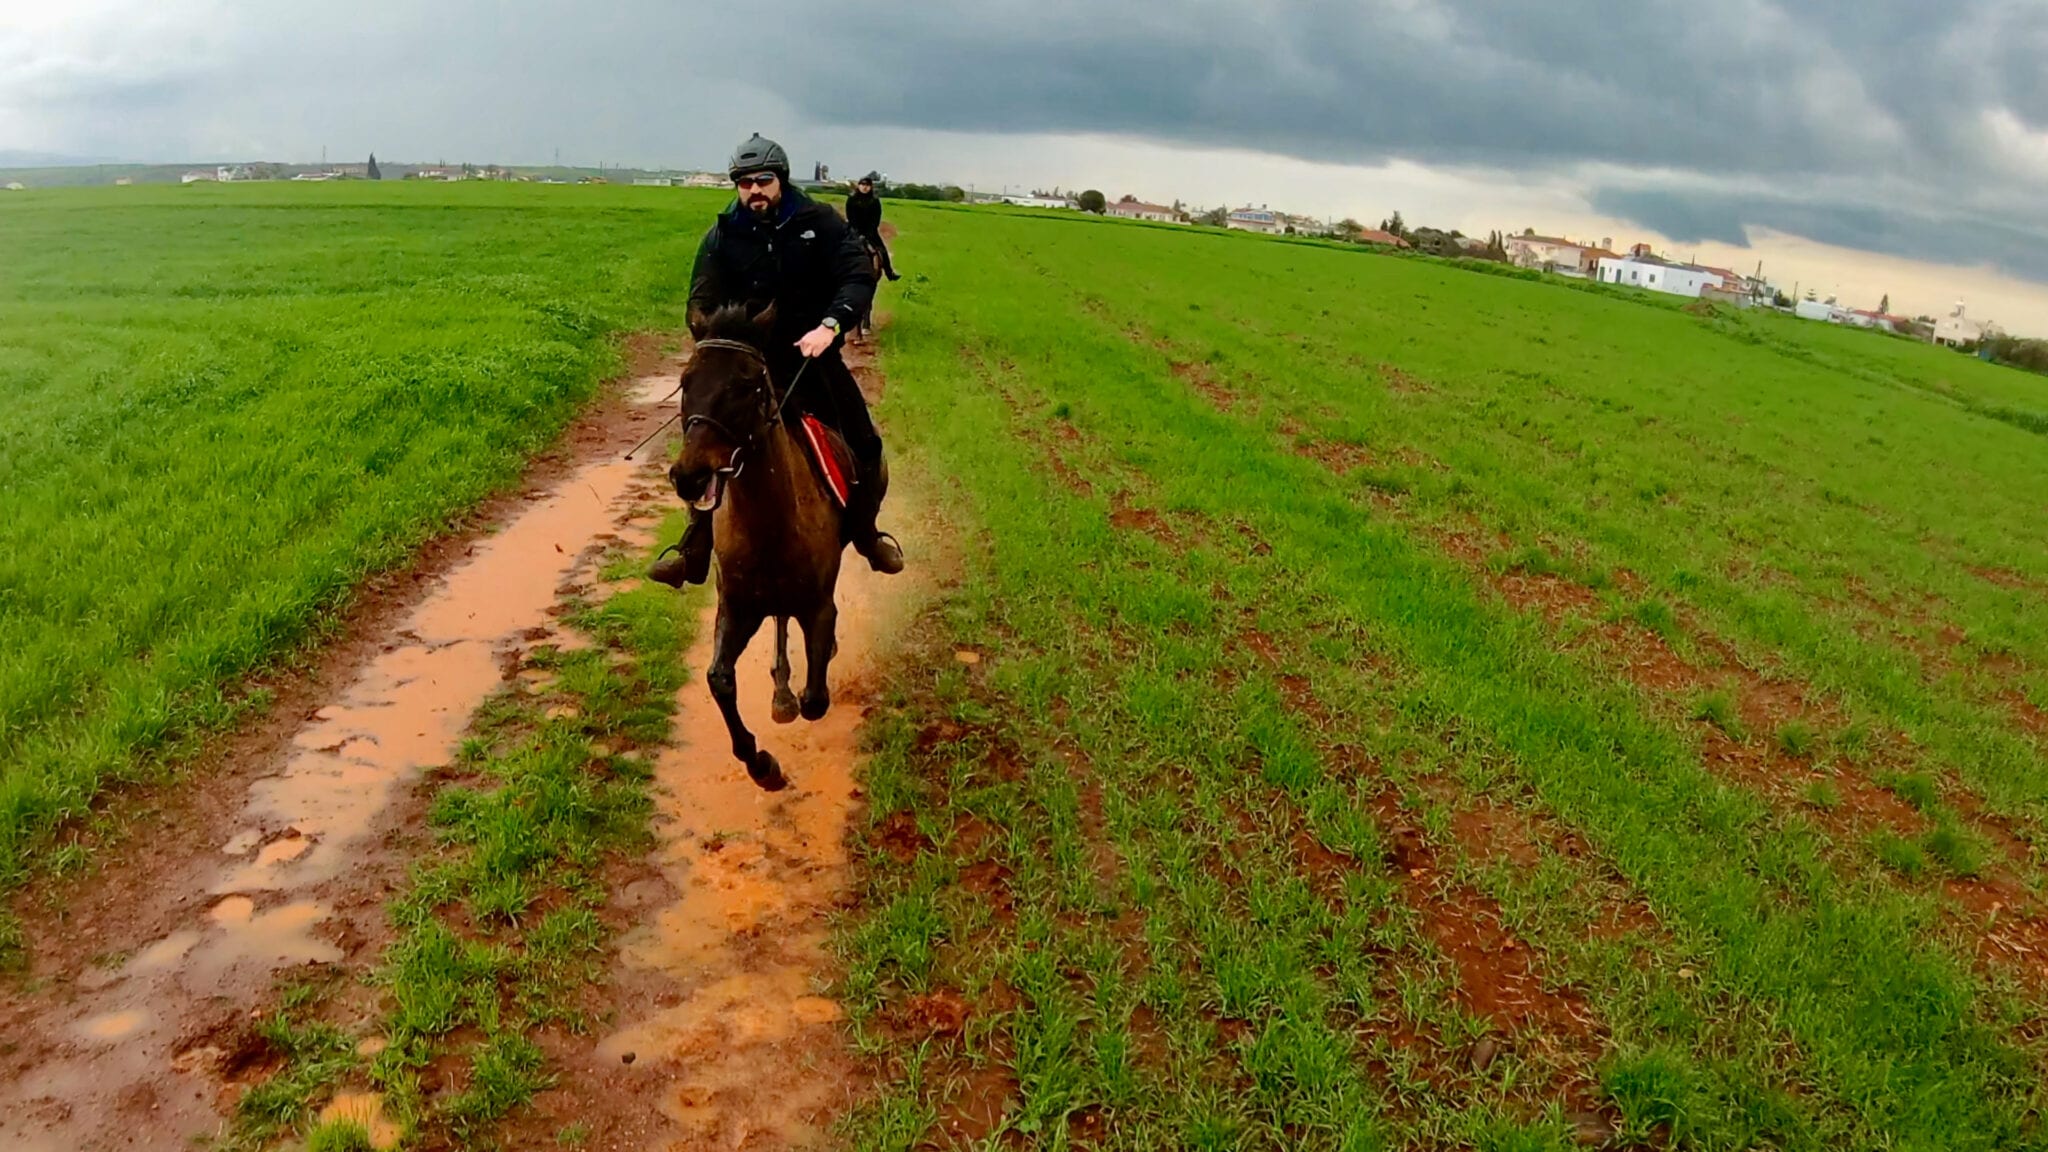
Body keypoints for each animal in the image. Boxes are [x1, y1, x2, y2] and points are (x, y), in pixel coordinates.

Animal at [671, 301, 847, 787]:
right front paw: (762, 764)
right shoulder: (736, 608)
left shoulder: (818, 606)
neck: (770, 526)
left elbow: (815, 698)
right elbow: (719, 679)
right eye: (686, 381)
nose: (689, 475)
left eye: (747, 385)